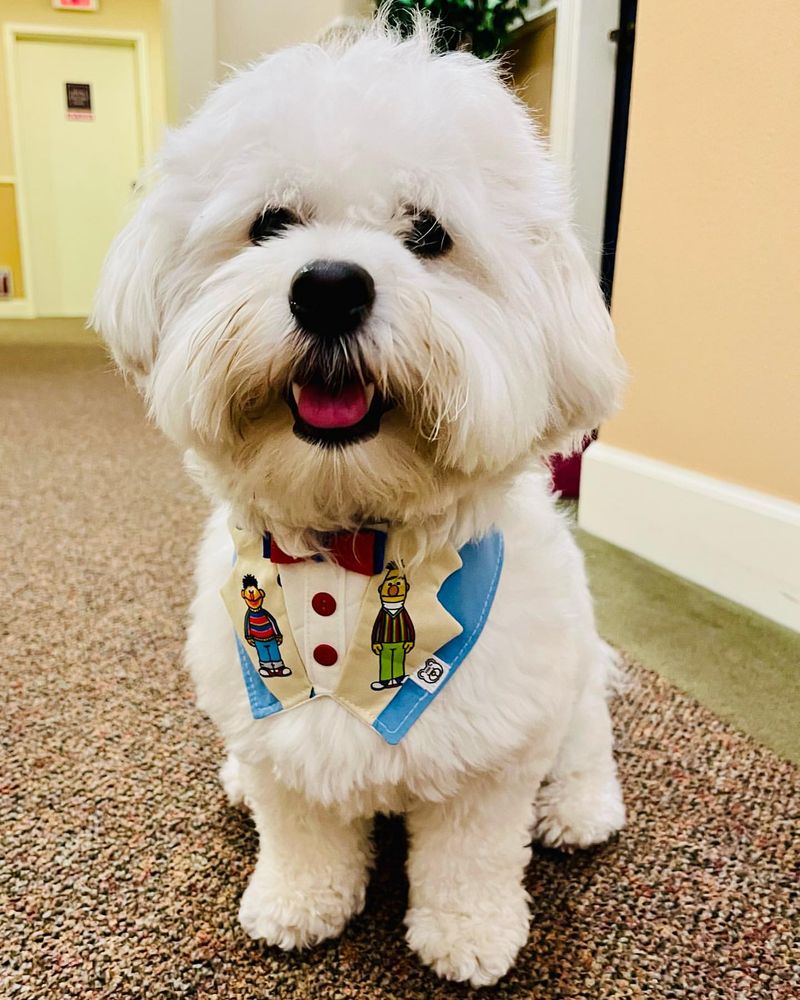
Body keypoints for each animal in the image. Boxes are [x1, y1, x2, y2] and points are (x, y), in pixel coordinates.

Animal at [94, 17, 628, 992]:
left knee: (585, 746)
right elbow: (300, 829)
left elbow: (471, 857)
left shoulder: (491, 759)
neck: (350, 553)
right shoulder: (280, 739)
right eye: (271, 223)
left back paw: (578, 810)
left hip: (569, 689)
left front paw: (469, 935)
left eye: (429, 232)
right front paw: (297, 903)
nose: (331, 285)